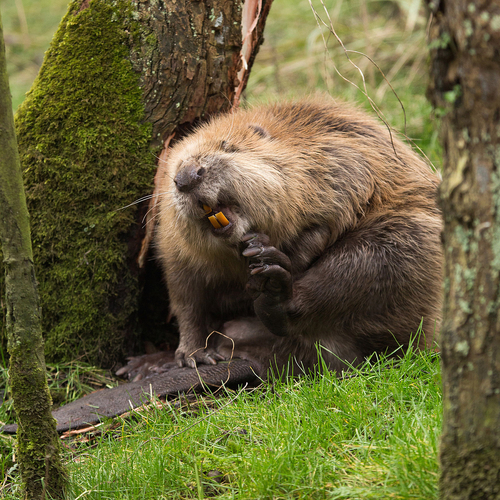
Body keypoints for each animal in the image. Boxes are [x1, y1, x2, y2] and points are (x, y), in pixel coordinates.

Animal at [121, 96, 442, 378]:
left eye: (229, 147)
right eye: (172, 172)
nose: (187, 177)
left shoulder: (339, 160)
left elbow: (331, 218)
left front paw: (263, 254)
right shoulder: (174, 247)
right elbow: (186, 298)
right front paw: (193, 354)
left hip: (408, 237)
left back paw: (272, 292)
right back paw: (152, 364)